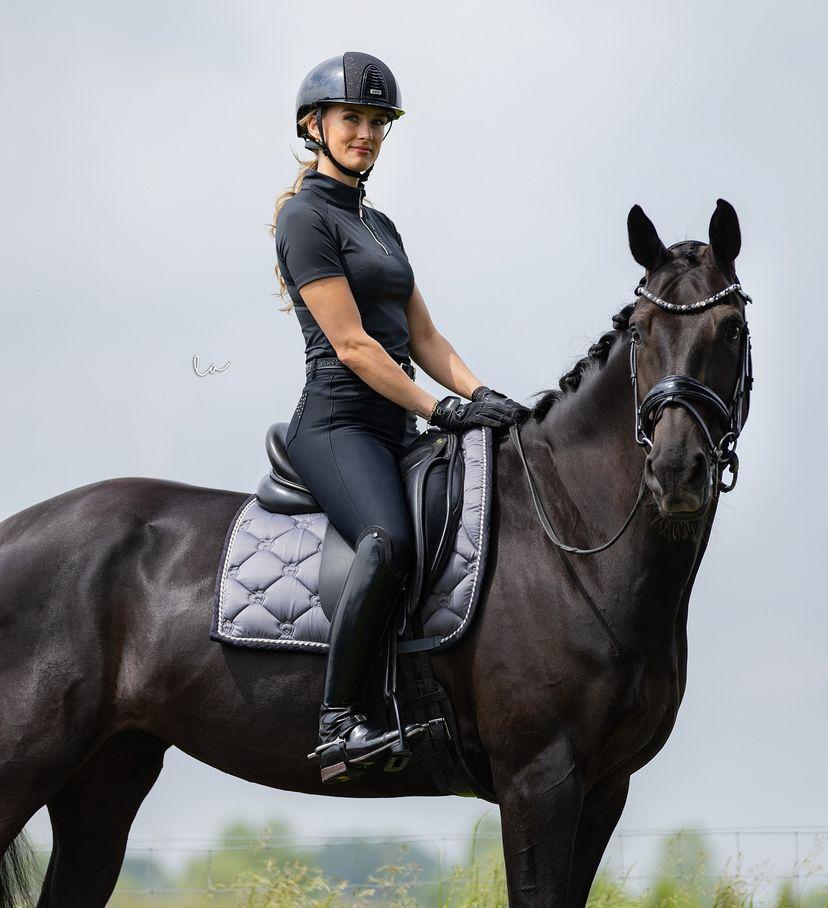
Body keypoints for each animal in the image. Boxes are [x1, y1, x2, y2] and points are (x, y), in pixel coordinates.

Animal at [0, 199, 752, 906]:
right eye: (640, 332)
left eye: (731, 330)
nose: (676, 471)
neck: (570, 539)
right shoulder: (539, 778)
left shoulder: (604, 787)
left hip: (106, 777)